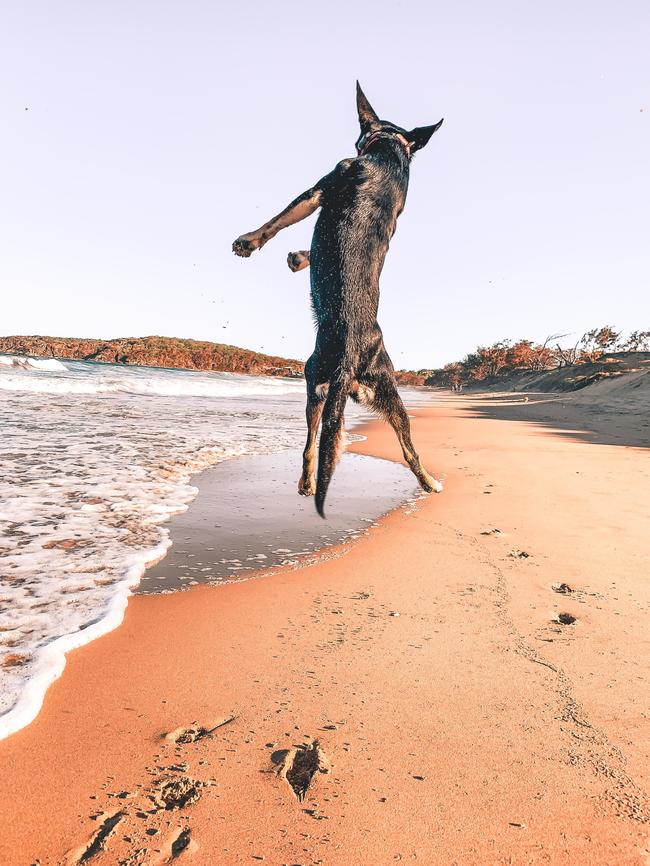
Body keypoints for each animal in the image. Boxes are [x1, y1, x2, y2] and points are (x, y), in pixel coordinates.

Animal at [232, 82, 440, 512]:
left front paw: (249, 241)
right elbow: (309, 247)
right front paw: (299, 258)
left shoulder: (323, 186)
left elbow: (280, 219)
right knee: (409, 449)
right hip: (389, 393)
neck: (388, 153)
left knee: (311, 443)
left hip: (315, 378)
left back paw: (307, 482)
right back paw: (429, 482)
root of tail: (352, 356)